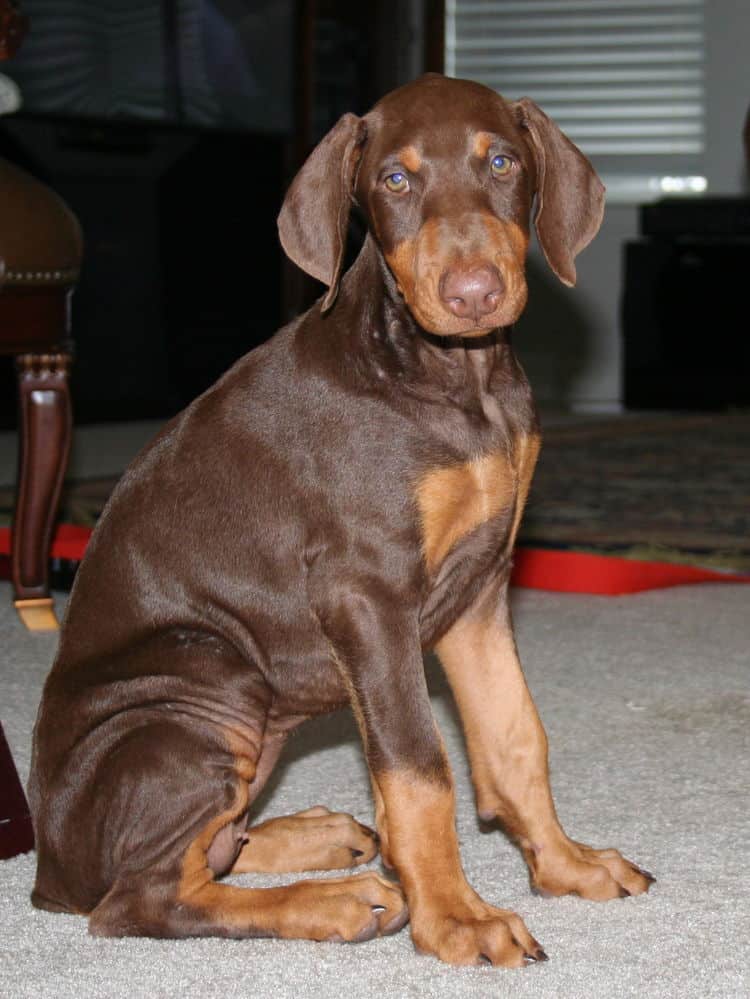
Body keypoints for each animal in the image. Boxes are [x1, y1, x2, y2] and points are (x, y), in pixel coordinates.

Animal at [27, 74, 652, 964]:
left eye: (501, 162)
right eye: (394, 179)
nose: (473, 293)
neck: (452, 379)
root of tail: (47, 867)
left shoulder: (481, 586)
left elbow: (516, 737)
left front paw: (566, 864)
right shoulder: (369, 594)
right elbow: (419, 766)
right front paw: (456, 916)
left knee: (216, 846)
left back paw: (318, 838)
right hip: (210, 676)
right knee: (141, 897)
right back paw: (333, 900)